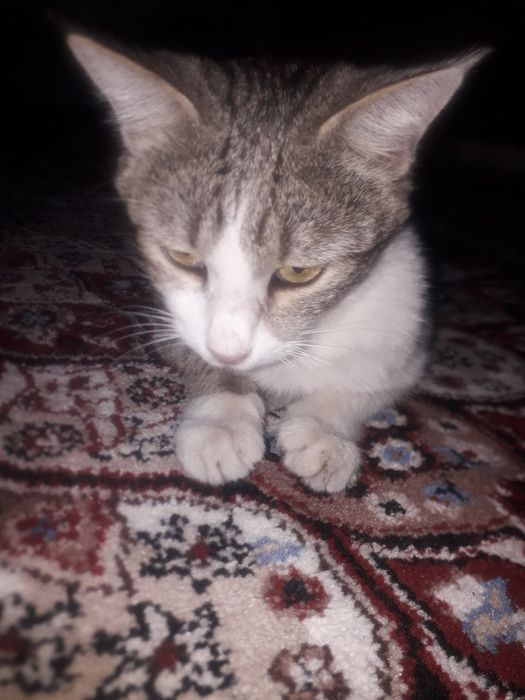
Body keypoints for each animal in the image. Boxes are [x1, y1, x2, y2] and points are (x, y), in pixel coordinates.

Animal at [68, 34, 484, 492]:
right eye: (183, 257)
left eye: (298, 272)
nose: (230, 353)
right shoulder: (167, 313)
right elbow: (187, 345)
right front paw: (223, 417)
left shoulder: (405, 329)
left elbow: (370, 382)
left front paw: (324, 430)